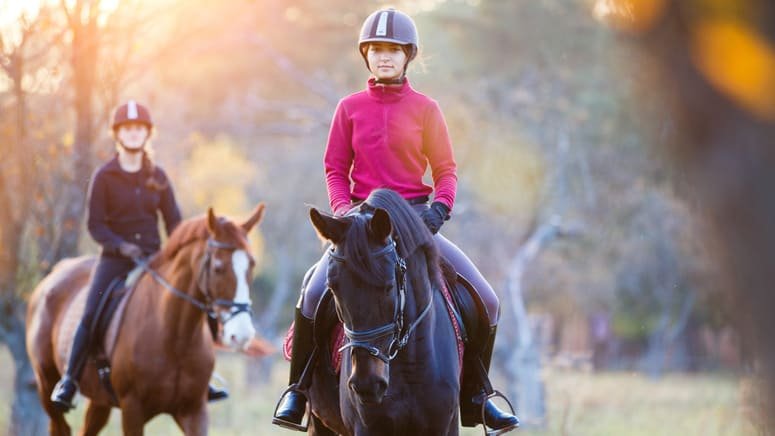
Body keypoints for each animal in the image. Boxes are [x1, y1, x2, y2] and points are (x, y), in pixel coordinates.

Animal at [26, 204, 265, 435]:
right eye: (218, 268)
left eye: (252, 264)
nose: (242, 335)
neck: (175, 336)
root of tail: (53, 275)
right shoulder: (132, 409)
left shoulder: (194, 410)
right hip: (46, 383)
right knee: (60, 426)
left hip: (99, 400)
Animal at [305, 189, 461, 436]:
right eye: (333, 288)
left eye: (389, 286)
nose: (367, 385)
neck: (411, 364)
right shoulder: (366, 428)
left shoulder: (444, 426)